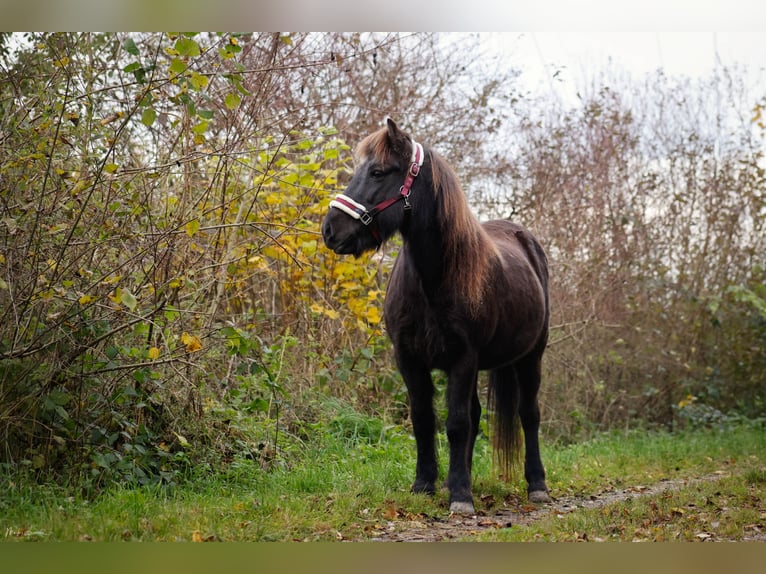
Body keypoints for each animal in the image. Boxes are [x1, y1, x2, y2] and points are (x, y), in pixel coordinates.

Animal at [321, 118, 551, 514]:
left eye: (378, 171)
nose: (330, 230)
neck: (433, 279)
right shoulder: (409, 359)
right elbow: (424, 420)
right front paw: (426, 484)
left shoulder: (463, 358)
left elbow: (456, 423)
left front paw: (459, 495)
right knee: (476, 414)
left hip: (530, 357)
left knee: (528, 414)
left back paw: (536, 484)